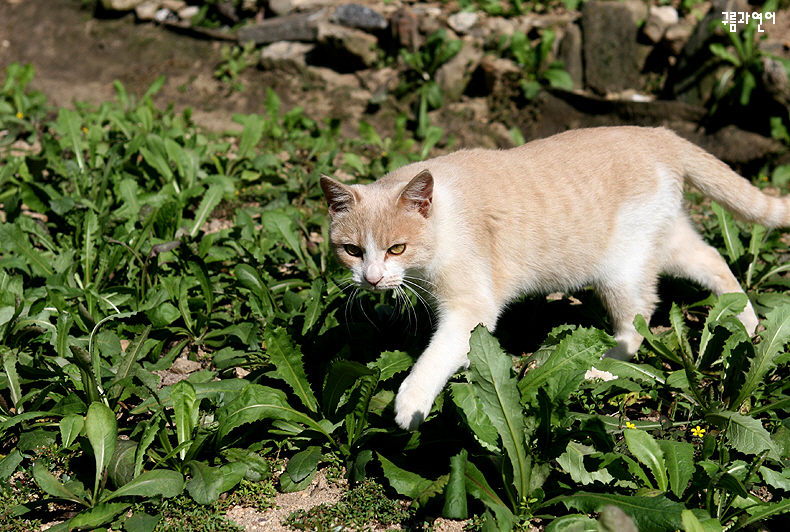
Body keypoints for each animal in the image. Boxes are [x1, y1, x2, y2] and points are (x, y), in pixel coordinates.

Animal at [318, 127, 788, 430]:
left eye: (396, 248)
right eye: (353, 251)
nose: (372, 279)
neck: (443, 223)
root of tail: (659, 133)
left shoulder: (472, 307)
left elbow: (437, 354)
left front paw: (412, 401)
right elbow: (454, 349)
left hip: (621, 269)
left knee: (637, 323)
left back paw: (599, 368)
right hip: (667, 241)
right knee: (713, 260)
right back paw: (747, 326)